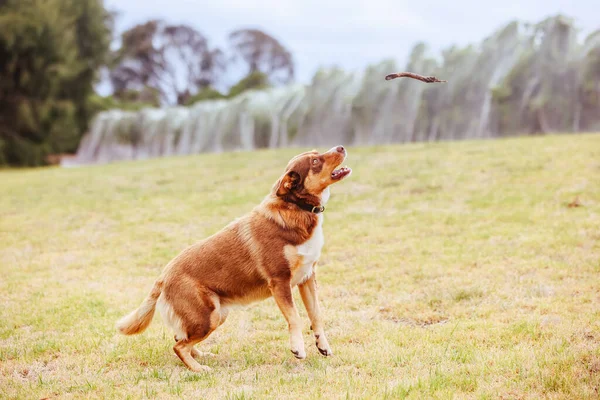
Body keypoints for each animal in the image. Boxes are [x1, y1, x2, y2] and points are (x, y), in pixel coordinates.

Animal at [116, 145, 352, 372]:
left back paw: (202, 356)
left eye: (317, 154)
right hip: (208, 317)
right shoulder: (280, 282)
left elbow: (316, 315)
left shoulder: (307, 278)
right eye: (315, 161)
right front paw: (298, 348)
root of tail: (163, 276)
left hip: (217, 315)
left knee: (179, 338)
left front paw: (323, 346)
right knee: (178, 346)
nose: (341, 147)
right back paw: (198, 368)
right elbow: (295, 317)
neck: (296, 208)